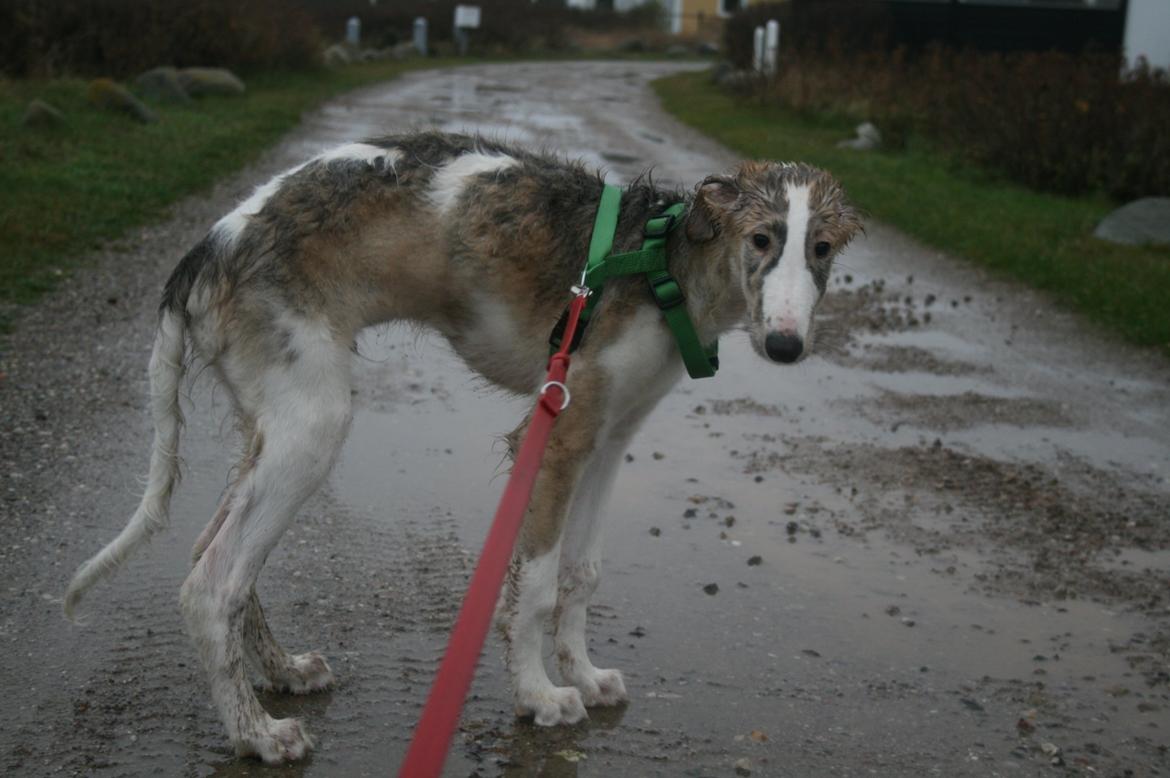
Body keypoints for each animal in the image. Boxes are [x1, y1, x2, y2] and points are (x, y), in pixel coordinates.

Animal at [66, 130, 861, 762]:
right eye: (761, 240)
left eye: (822, 249)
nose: (787, 347)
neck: (662, 261)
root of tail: (207, 249)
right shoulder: (558, 431)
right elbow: (536, 586)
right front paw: (540, 695)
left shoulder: (610, 440)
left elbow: (583, 574)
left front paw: (584, 674)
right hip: (313, 426)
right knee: (211, 585)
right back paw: (257, 735)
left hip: (274, 423)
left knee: (216, 549)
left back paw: (283, 672)